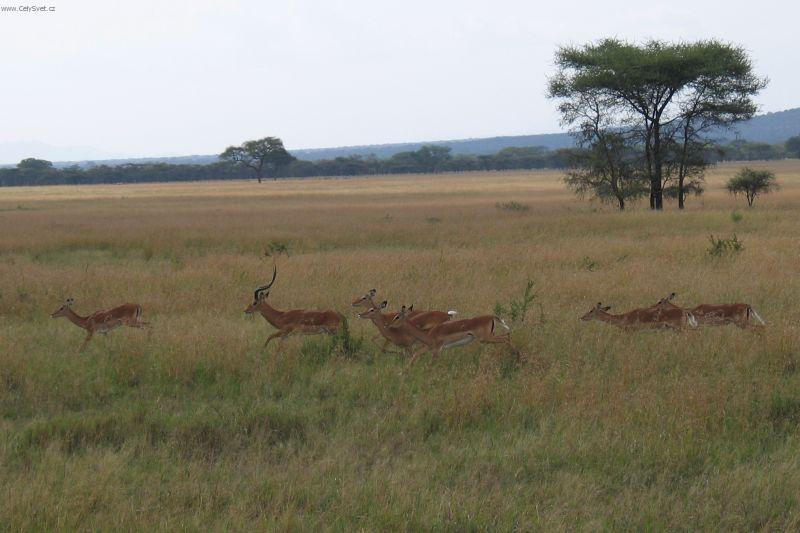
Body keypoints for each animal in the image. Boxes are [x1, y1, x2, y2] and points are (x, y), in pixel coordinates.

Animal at [390, 304, 520, 366]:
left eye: (397, 316)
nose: (389, 325)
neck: (428, 335)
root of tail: (491, 316)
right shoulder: (428, 347)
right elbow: (415, 356)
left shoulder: (437, 350)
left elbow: (431, 364)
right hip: (488, 338)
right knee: (507, 335)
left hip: (485, 338)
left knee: (506, 337)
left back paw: (517, 356)